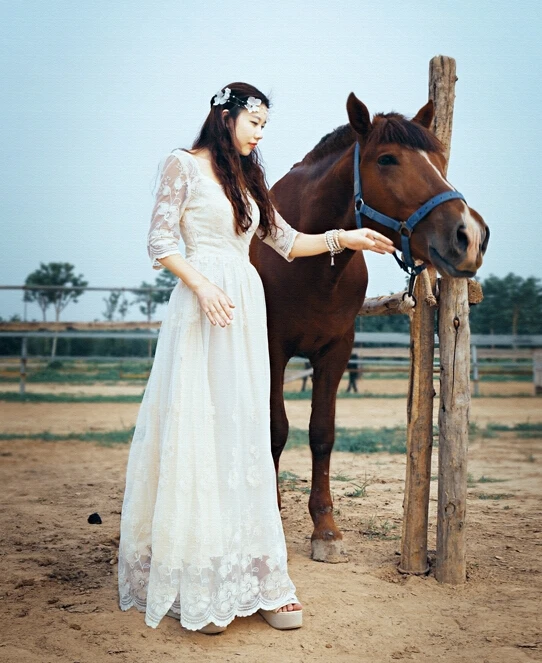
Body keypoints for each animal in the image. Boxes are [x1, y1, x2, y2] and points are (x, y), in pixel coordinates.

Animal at [253, 94, 490, 564]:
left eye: (440, 160)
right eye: (387, 159)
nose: (470, 236)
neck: (310, 264)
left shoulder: (337, 349)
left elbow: (321, 434)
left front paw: (325, 530)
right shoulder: (274, 348)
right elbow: (276, 430)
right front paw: (273, 513)